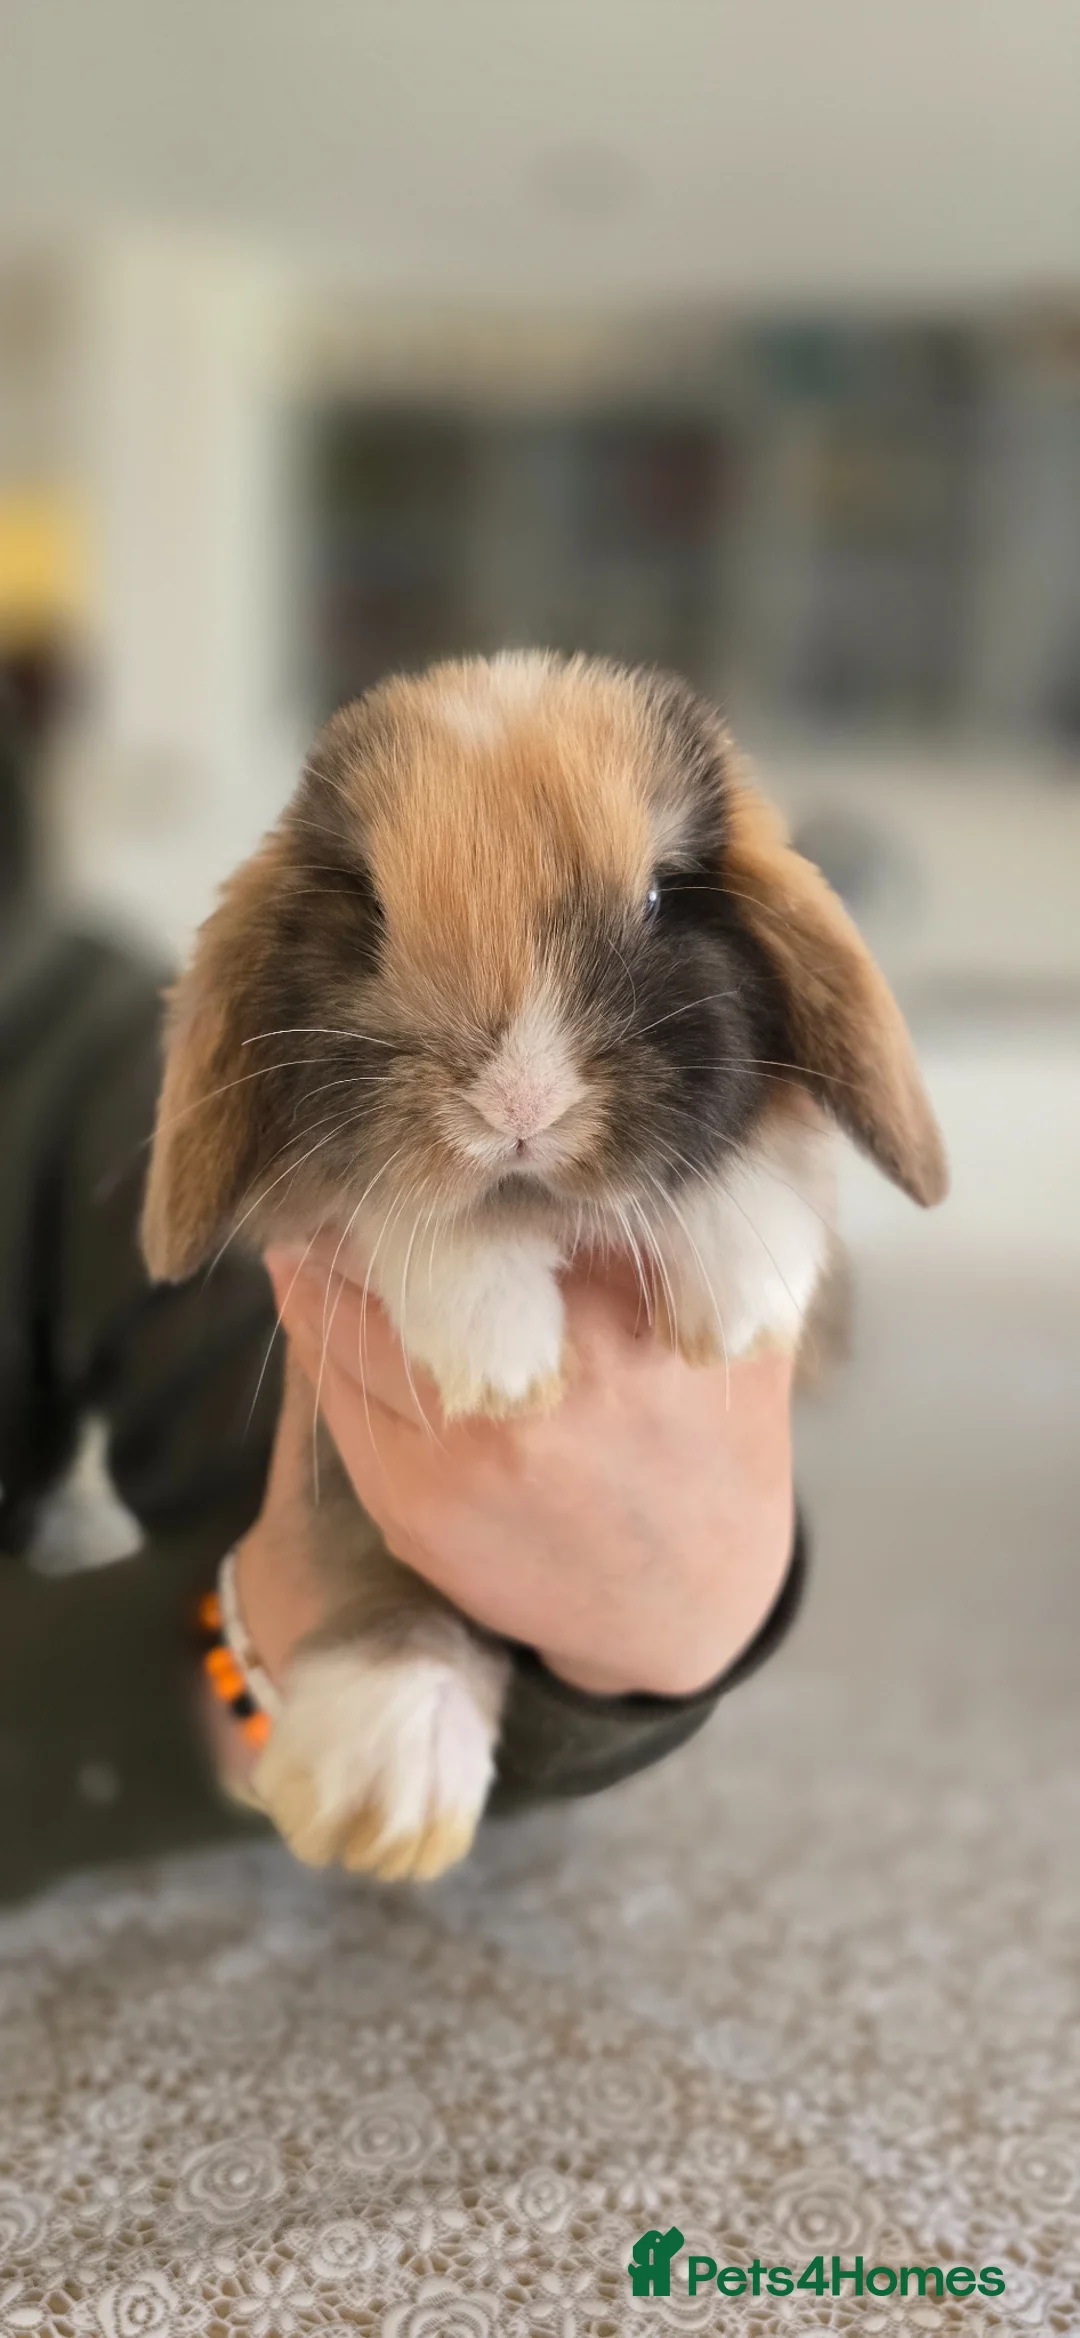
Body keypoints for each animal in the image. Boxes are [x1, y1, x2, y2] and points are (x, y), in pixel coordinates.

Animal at [142, 651, 947, 1881]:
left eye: (664, 896)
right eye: (369, 910)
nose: (519, 1106)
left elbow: (760, 1164)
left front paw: (734, 1306)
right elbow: (412, 1217)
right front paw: (505, 1362)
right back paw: (394, 1772)